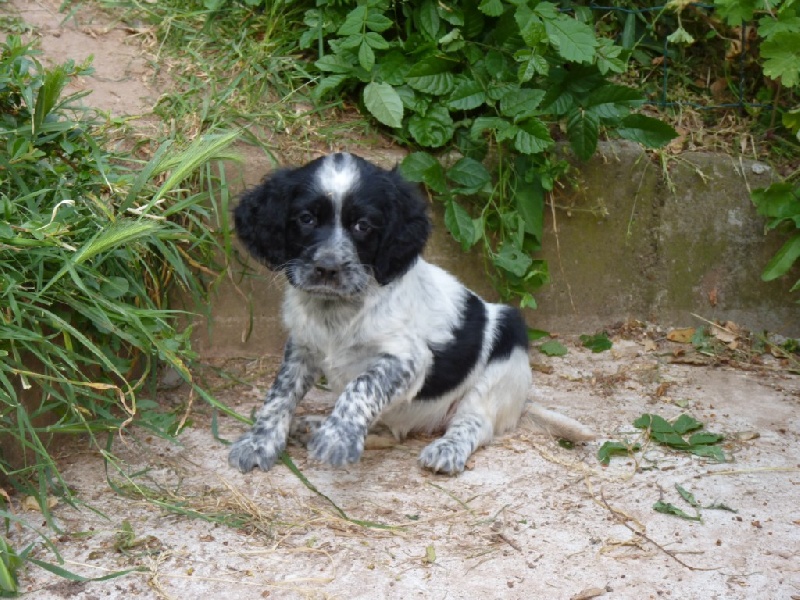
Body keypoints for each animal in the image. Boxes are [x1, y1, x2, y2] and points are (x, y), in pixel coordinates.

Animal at [228, 152, 593, 475]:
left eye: (362, 225)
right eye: (306, 219)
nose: (327, 268)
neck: (339, 310)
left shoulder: (408, 359)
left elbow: (361, 386)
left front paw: (336, 439)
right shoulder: (302, 347)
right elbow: (280, 395)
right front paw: (259, 443)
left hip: (502, 361)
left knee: (474, 423)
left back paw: (446, 450)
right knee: (390, 431)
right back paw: (315, 426)